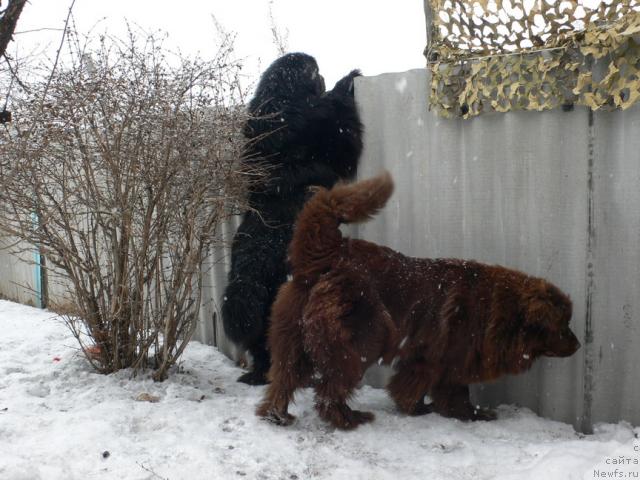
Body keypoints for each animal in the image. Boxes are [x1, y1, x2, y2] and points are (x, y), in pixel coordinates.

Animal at [221, 52, 362, 384]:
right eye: (314, 69)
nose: (322, 73)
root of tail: (245, 275)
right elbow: (343, 131)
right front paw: (345, 82)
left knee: (263, 345)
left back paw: (260, 375)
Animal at [255, 172, 580, 428]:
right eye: (563, 324)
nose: (578, 345)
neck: (498, 308)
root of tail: (330, 254)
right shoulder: (446, 355)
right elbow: (449, 390)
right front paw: (470, 414)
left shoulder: (427, 356)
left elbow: (415, 385)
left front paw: (421, 408)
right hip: (360, 341)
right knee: (329, 388)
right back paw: (348, 419)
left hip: (291, 335)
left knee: (283, 379)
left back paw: (277, 416)